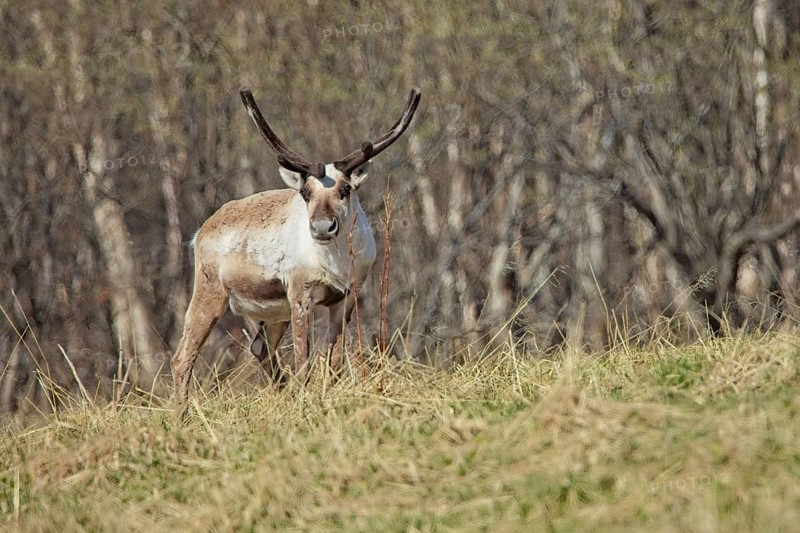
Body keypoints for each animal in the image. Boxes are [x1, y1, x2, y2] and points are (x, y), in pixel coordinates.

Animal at [171, 87, 421, 408]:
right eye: (305, 192)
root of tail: (200, 232)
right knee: (182, 357)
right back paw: (181, 414)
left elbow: (334, 363)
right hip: (209, 290)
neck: (336, 265)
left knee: (260, 348)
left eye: (345, 189)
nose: (323, 227)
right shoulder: (300, 293)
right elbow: (304, 362)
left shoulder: (347, 296)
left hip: (273, 313)